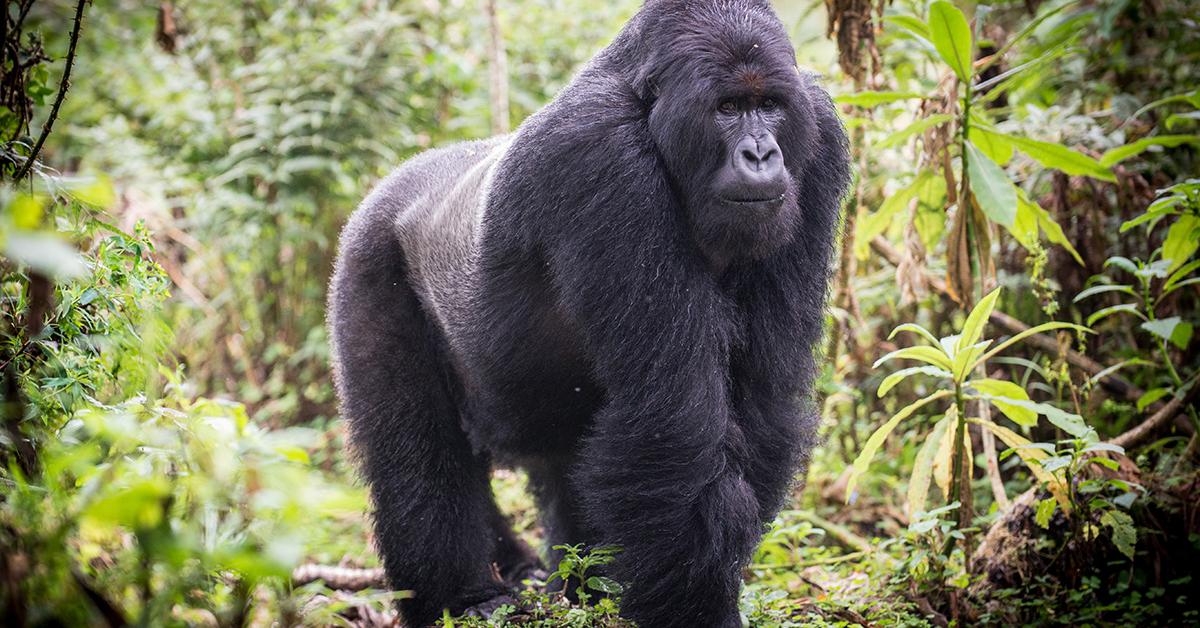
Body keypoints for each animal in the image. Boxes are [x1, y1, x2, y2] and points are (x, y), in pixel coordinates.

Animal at [331, 1, 854, 624]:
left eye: (768, 105)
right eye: (728, 109)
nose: (760, 153)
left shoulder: (817, 145)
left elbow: (761, 396)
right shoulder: (603, 158)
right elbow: (674, 418)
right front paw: (699, 608)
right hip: (366, 257)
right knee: (418, 454)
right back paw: (461, 598)